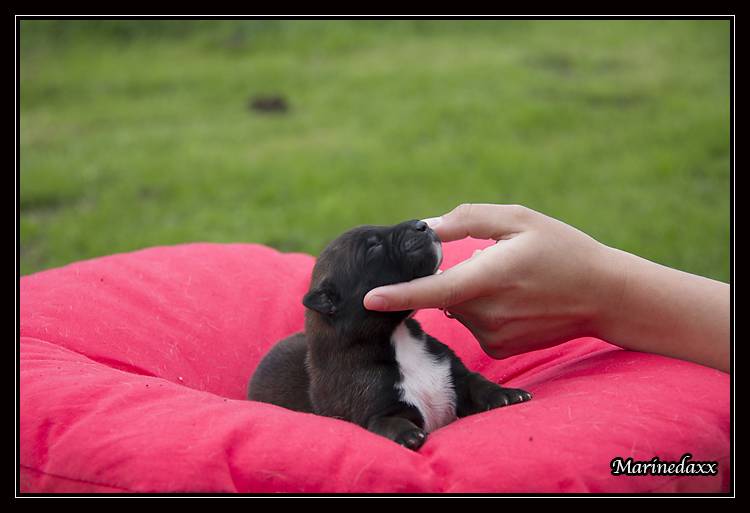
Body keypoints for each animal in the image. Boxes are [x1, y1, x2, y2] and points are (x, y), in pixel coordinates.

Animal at [250, 220, 532, 448]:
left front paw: (506, 394)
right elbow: (389, 421)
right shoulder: (377, 409)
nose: (422, 224)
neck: (397, 336)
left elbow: (478, 383)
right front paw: (408, 434)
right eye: (373, 248)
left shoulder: (456, 375)